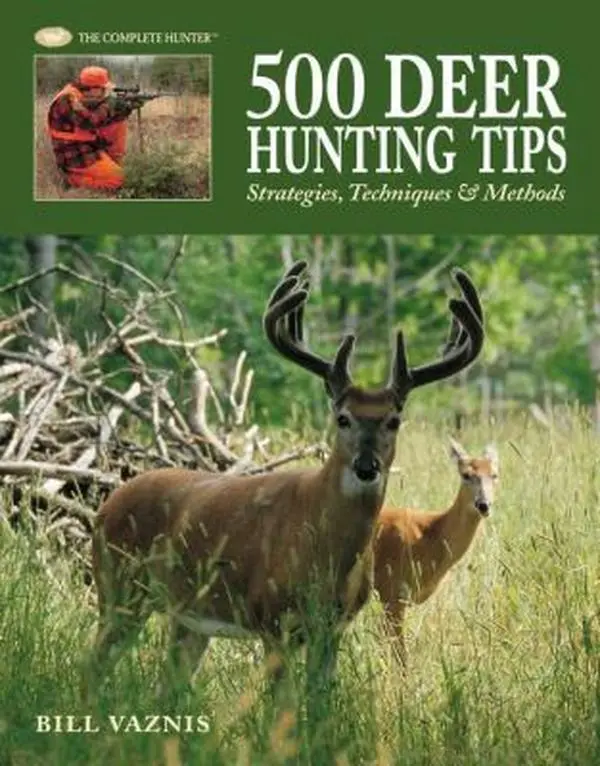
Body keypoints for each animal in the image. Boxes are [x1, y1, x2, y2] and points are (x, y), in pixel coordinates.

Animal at [85, 259, 484, 707]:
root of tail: (107, 503)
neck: (324, 553)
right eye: (342, 417)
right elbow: (280, 706)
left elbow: (318, 704)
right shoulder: (271, 616)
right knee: (92, 666)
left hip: (186, 618)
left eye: (393, 420)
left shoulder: (333, 626)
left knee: (165, 685)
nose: (366, 466)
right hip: (118, 589)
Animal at [373, 437, 499, 667]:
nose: (483, 505)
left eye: (494, 474)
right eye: (466, 474)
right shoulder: (392, 590)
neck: (431, 536)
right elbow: (399, 653)